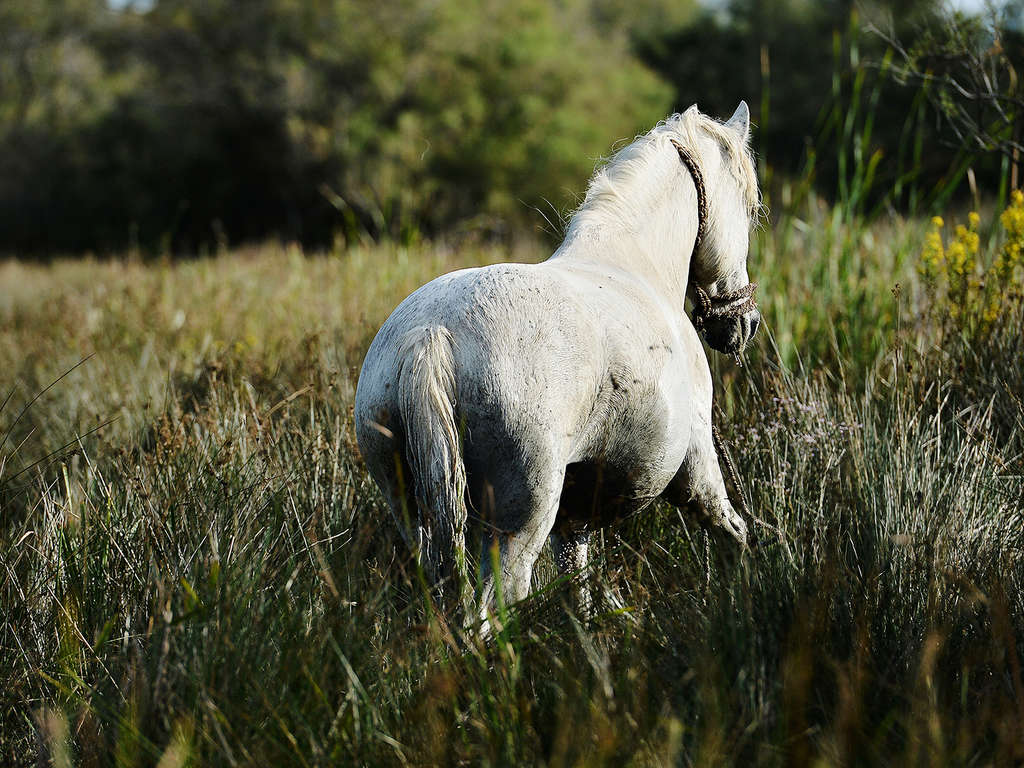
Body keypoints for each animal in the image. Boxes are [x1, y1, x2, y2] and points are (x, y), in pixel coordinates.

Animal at [354, 102, 761, 622]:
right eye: (750, 209)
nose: (743, 324)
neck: (636, 266)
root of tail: (431, 335)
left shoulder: (573, 519)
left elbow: (579, 588)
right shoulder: (697, 470)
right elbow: (736, 535)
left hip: (414, 516)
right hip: (518, 525)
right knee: (493, 608)